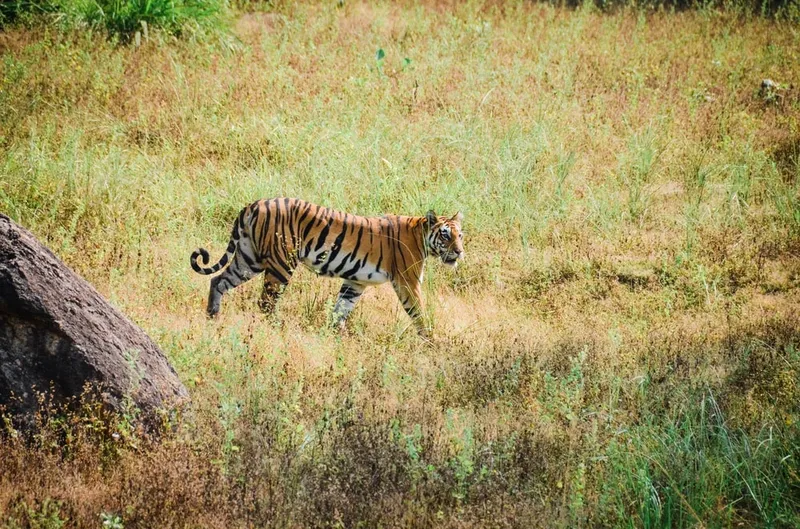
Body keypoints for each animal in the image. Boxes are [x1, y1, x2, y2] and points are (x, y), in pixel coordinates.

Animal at [191, 196, 466, 336]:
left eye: (460, 235)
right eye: (445, 235)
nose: (460, 252)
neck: (421, 235)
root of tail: (254, 204)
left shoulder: (355, 281)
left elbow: (341, 309)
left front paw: (337, 336)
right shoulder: (407, 281)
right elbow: (419, 313)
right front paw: (430, 340)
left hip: (249, 259)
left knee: (218, 281)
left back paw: (212, 318)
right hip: (281, 263)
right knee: (266, 302)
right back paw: (277, 329)